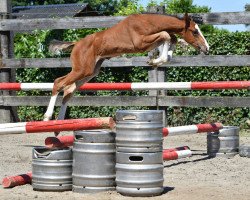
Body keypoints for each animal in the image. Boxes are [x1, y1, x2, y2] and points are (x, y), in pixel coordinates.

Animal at [43, 12, 209, 134]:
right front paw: (155, 61)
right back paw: (47, 118)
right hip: (81, 69)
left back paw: (59, 126)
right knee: (59, 83)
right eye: (195, 31)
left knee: (68, 90)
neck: (148, 22)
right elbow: (167, 36)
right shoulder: (141, 44)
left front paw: (157, 60)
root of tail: (76, 43)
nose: (206, 48)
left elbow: (171, 39)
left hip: (90, 72)